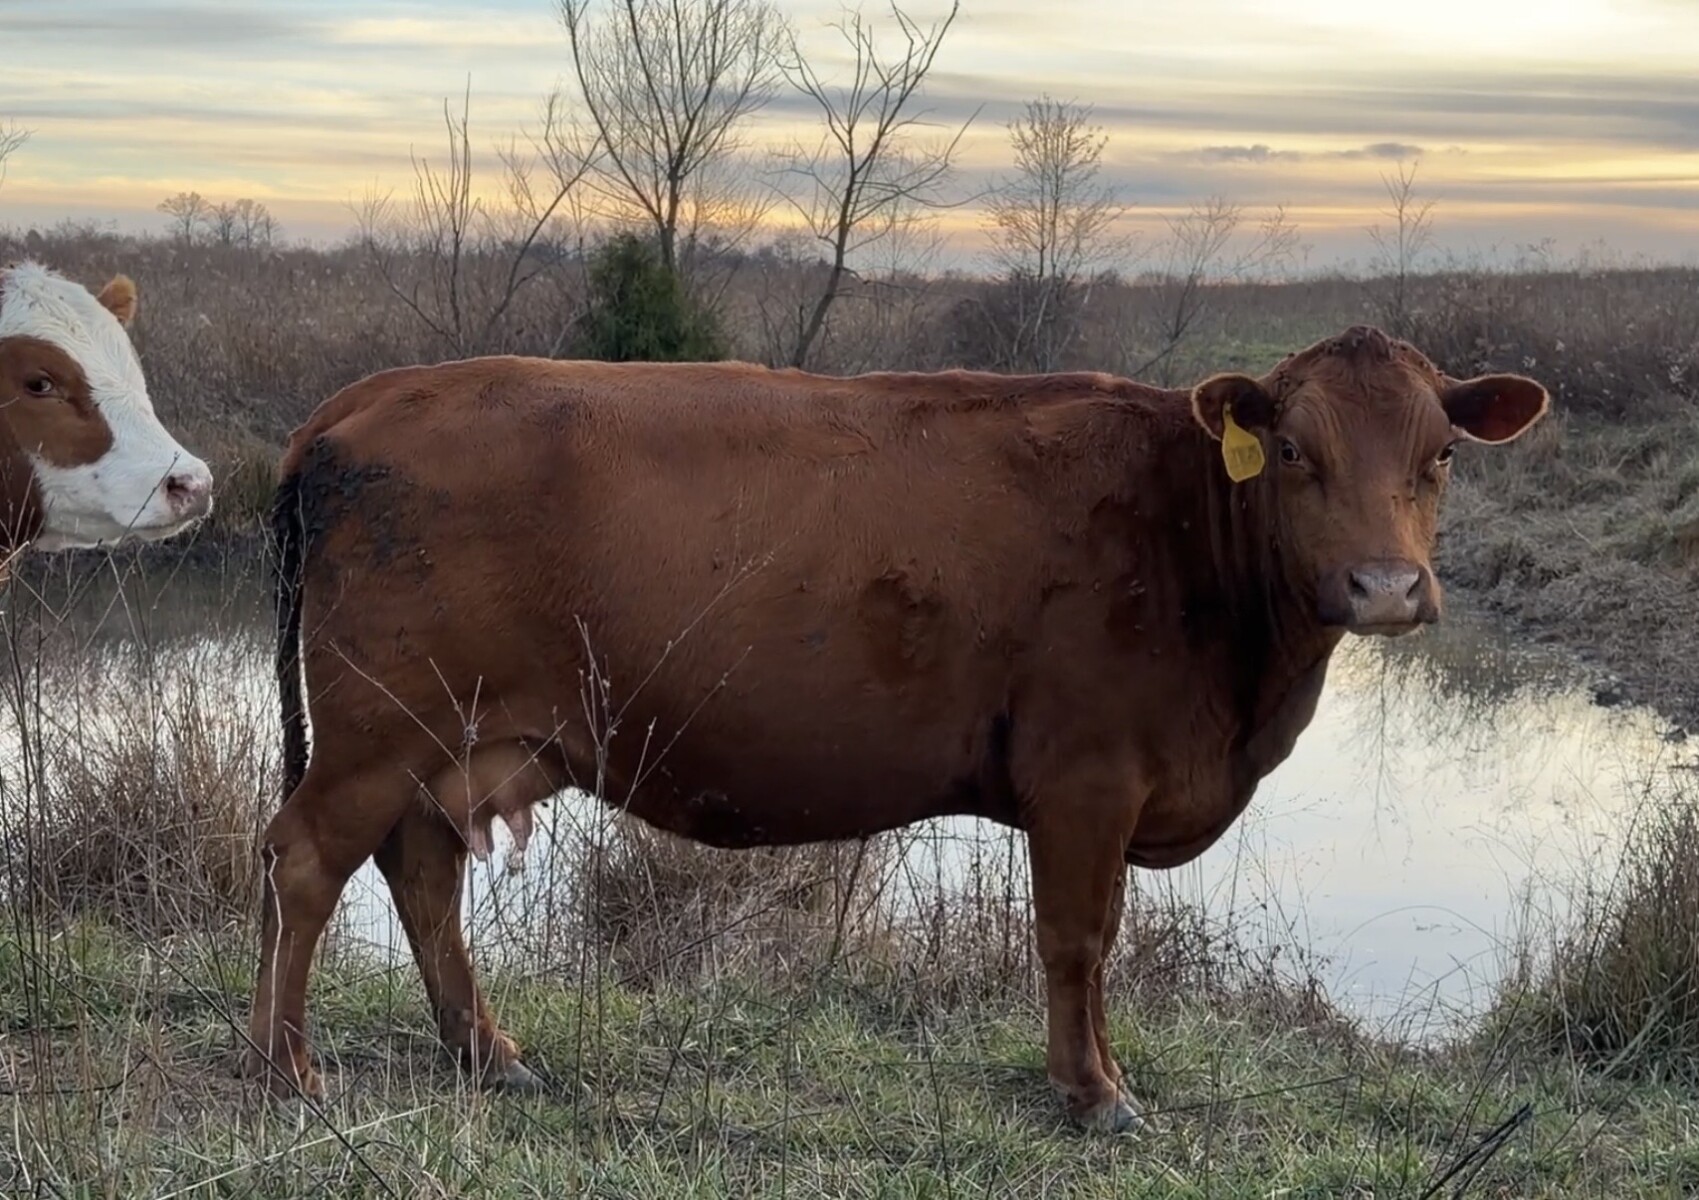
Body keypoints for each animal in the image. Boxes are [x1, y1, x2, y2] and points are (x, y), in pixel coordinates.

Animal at [245, 326, 1549, 1131]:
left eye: (1439, 455)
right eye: (1289, 450)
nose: (1385, 587)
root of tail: (370, 397)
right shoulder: (1086, 778)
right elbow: (1077, 941)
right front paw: (1093, 1094)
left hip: (445, 743)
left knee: (422, 875)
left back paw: (489, 1054)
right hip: (379, 728)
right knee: (307, 860)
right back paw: (286, 1069)